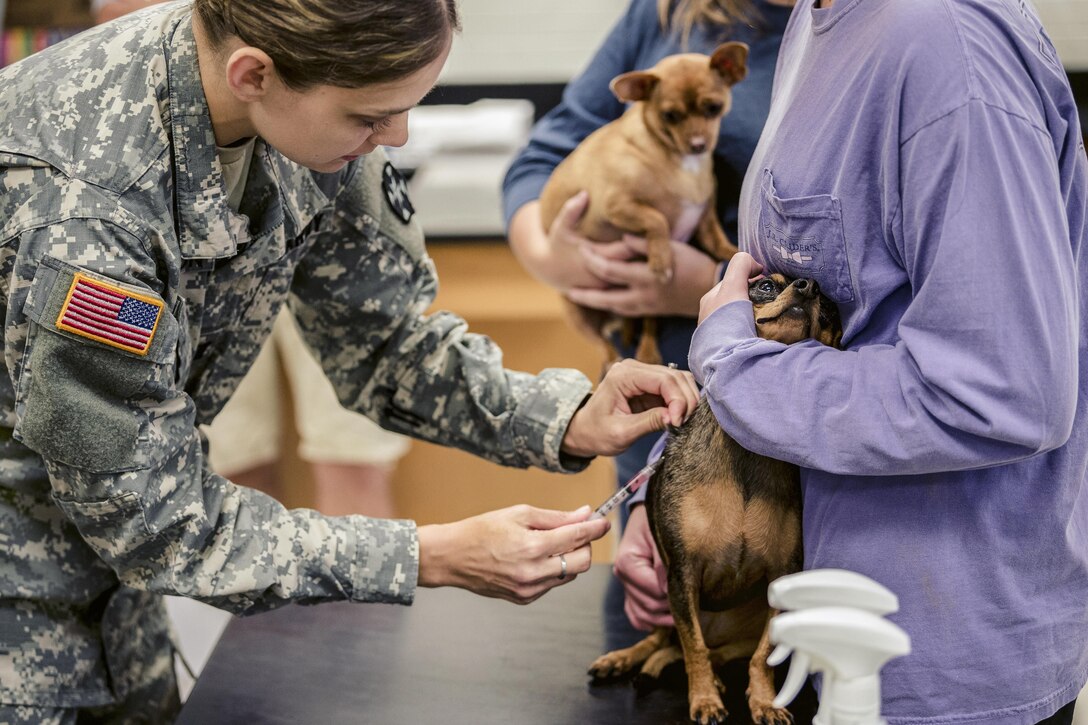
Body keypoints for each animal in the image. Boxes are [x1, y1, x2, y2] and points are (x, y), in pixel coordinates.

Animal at [591, 272, 844, 722]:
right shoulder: (681, 575)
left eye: (830, 310)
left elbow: (762, 656)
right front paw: (705, 699)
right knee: (669, 640)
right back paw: (622, 659)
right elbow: (693, 647)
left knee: (714, 652)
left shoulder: (782, 578)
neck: (746, 451)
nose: (808, 286)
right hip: (665, 602)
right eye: (764, 285)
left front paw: (763, 701)